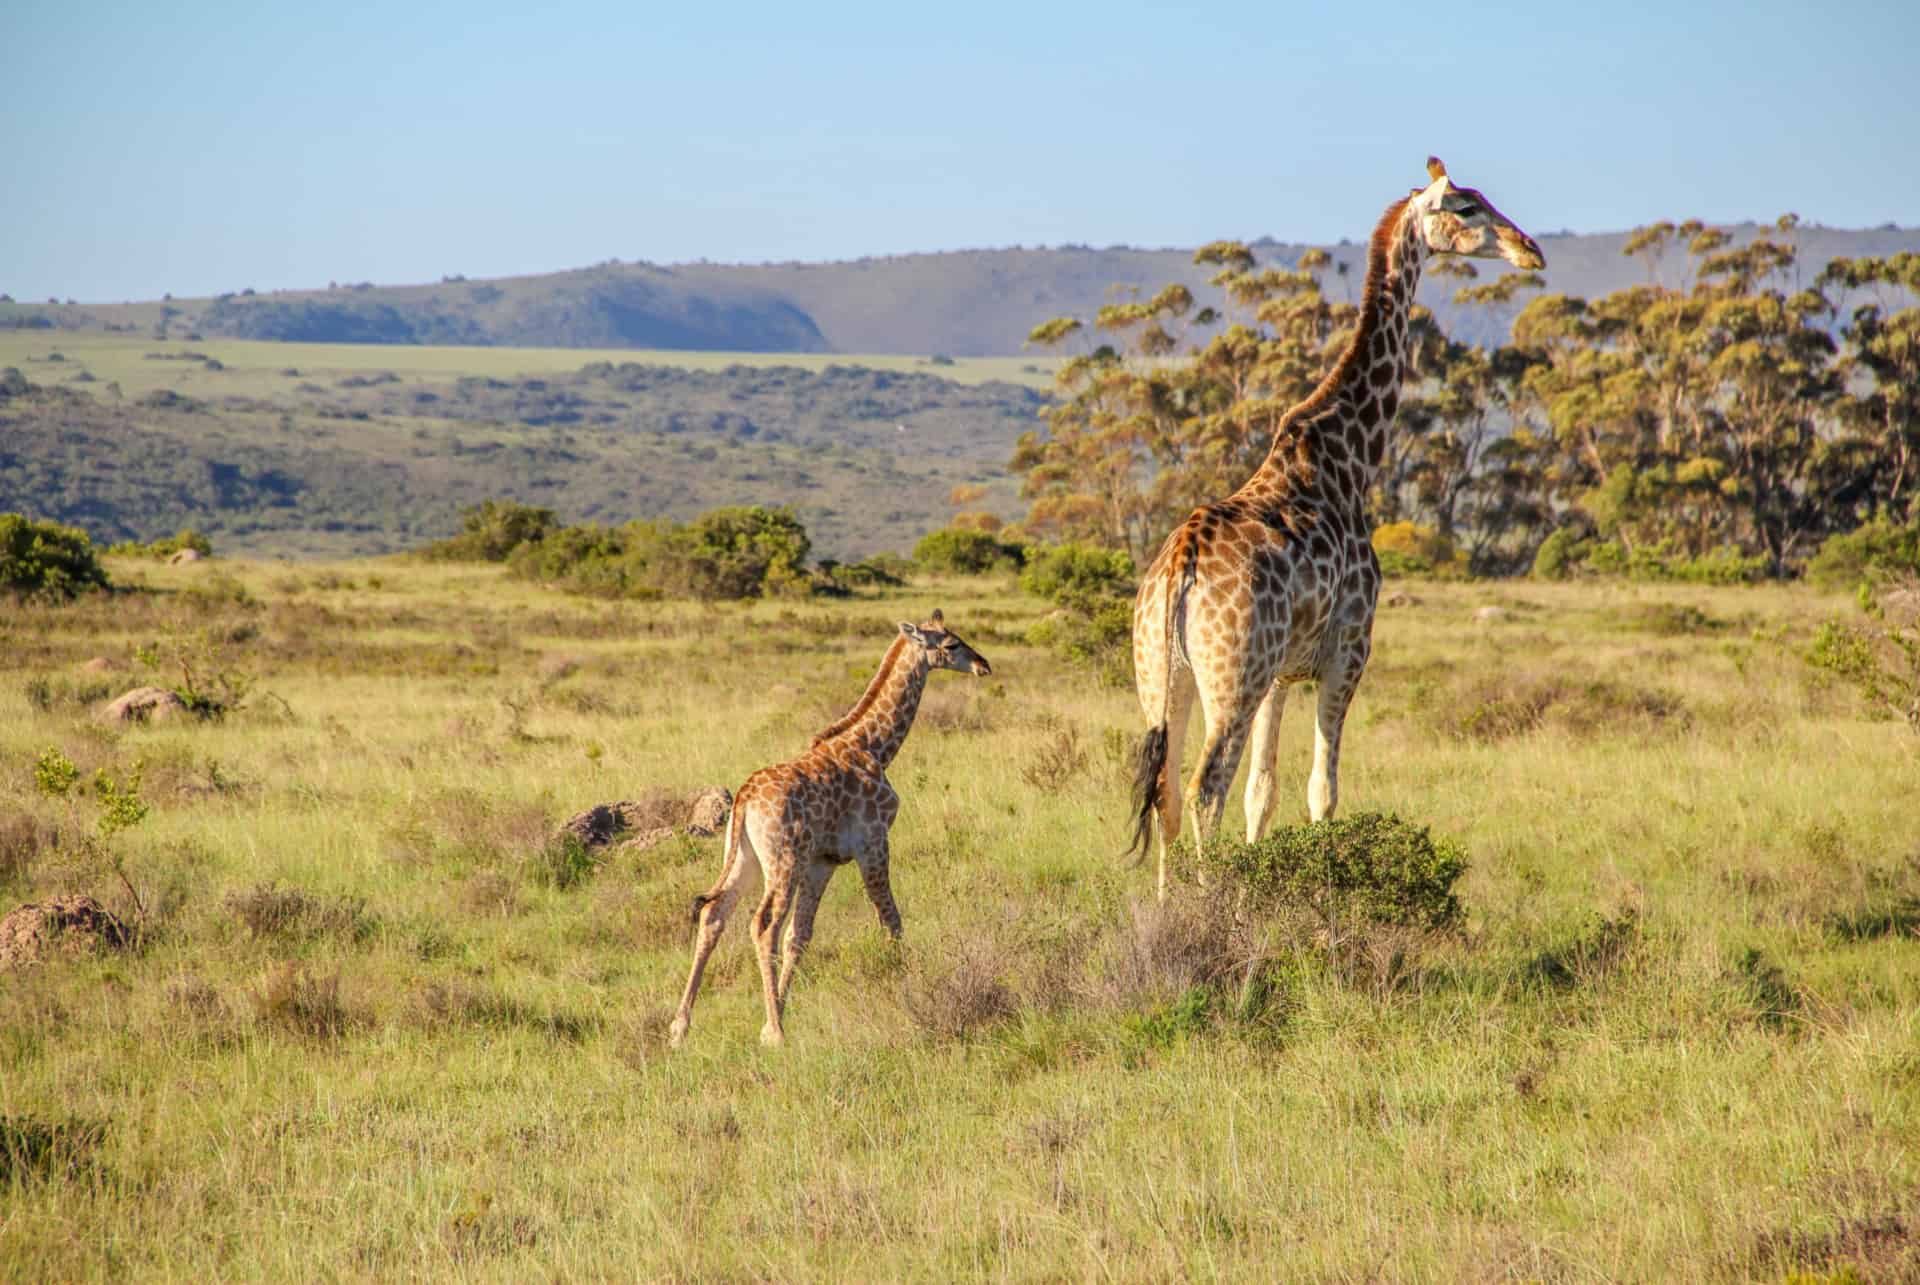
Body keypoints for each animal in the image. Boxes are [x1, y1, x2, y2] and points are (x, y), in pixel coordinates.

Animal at [668, 610, 990, 1044]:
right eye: (952, 644)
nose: (983, 665)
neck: (874, 747)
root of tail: (744, 798)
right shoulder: (873, 843)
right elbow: (891, 920)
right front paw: (909, 984)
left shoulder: (823, 861)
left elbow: (800, 937)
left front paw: (777, 1011)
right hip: (782, 861)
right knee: (763, 926)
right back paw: (776, 1034)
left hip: (746, 858)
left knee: (714, 915)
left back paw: (680, 1027)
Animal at [1121, 157, 1543, 891]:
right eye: (1465, 207)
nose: (1530, 249)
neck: (1350, 457)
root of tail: (1177, 570)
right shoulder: (1348, 651)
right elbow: (1323, 793)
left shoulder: (1280, 675)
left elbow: (1264, 793)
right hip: (1231, 677)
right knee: (1205, 786)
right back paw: (1204, 905)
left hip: (1163, 674)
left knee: (1167, 789)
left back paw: (1162, 909)